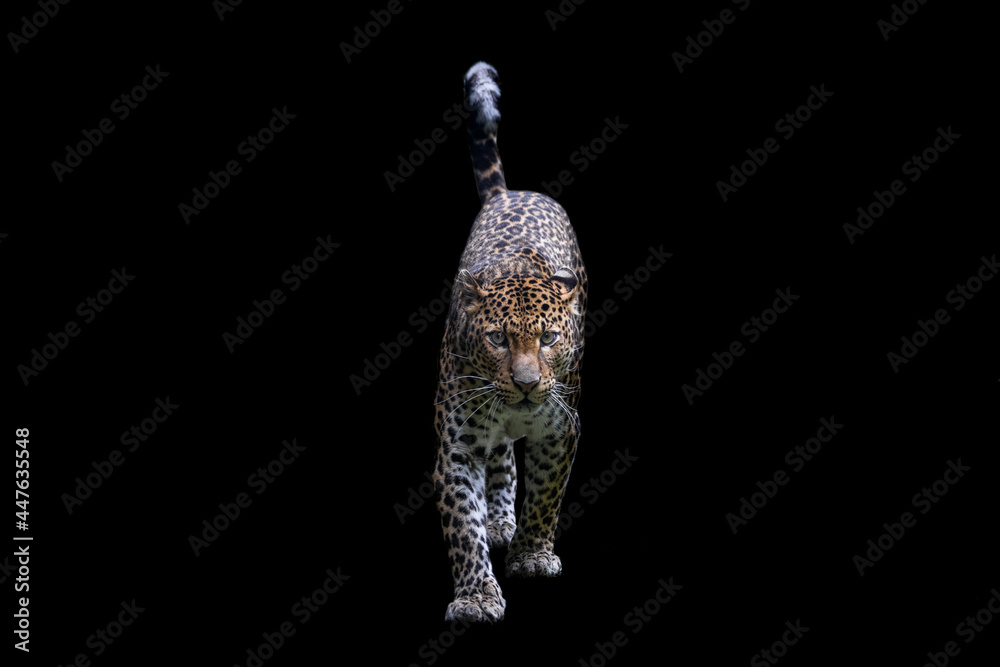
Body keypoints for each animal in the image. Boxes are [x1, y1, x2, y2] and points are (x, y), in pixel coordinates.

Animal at [432, 61, 588, 624]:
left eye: (549, 338)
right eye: (497, 338)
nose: (524, 384)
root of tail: (509, 193)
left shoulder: (562, 427)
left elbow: (545, 496)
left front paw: (532, 556)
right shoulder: (456, 445)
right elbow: (462, 524)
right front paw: (476, 594)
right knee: (499, 453)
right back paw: (499, 519)